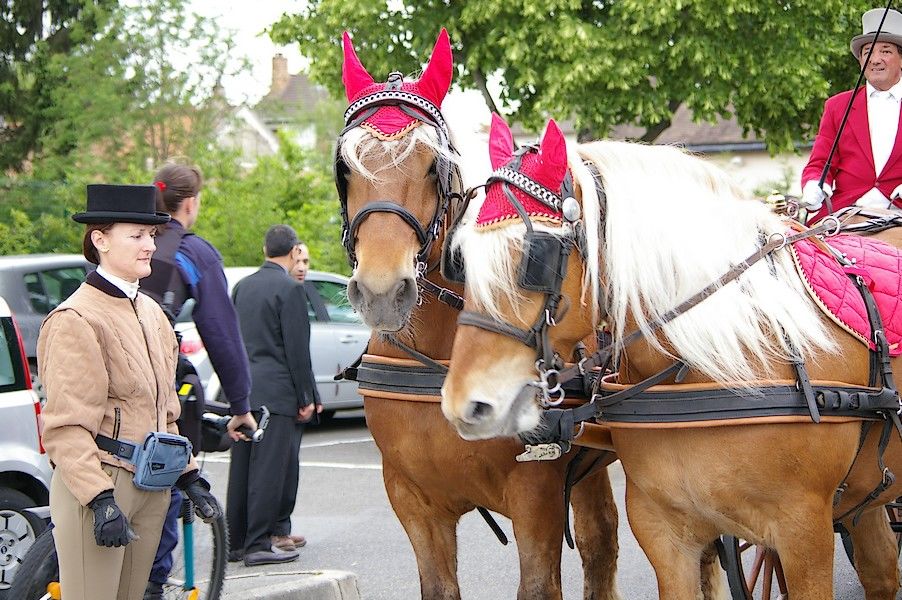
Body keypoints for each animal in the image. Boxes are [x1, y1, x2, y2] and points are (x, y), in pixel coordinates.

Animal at [336, 31, 624, 600]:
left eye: (433, 164)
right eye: (345, 168)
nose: (382, 291)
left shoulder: (536, 495)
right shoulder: (413, 503)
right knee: (601, 539)